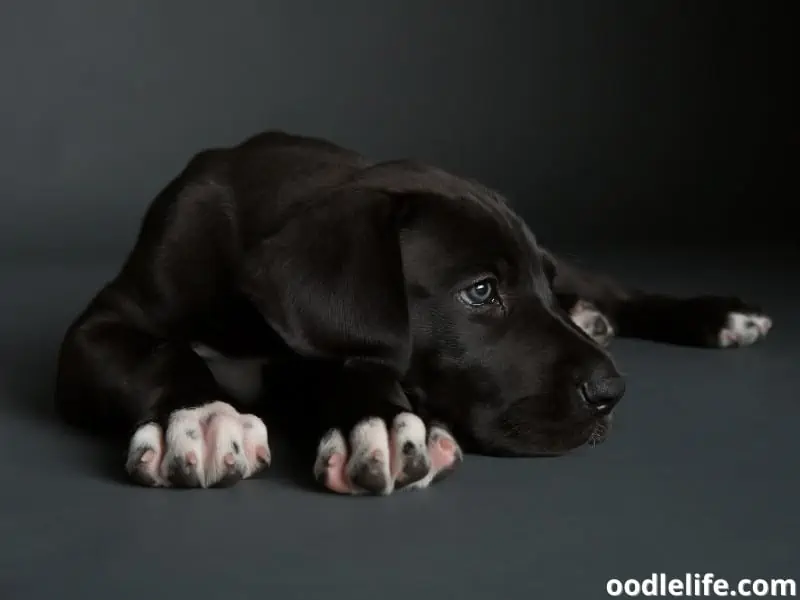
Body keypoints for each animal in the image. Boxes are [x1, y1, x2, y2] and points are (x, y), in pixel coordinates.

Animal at [53, 131, 772, 496]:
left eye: (523, 285)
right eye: (480, 292)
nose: (611, 392)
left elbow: (357, 360)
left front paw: (381, 423)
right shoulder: (96, 330)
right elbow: (160, 351)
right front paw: (200, 417)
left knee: (608, 284)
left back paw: (713, 317)